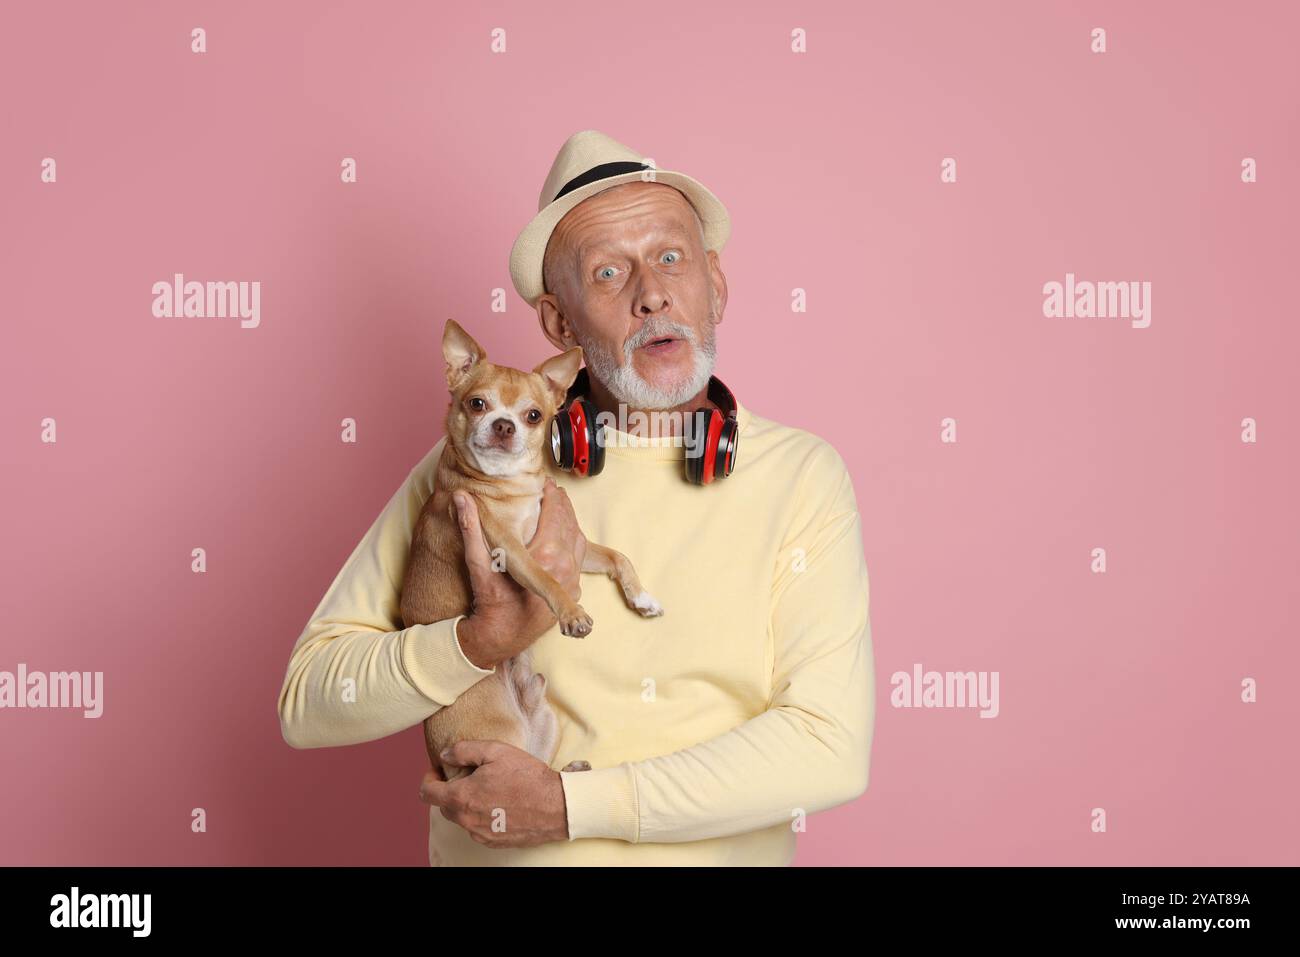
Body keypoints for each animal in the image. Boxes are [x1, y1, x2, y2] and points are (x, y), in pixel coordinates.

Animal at [400, 317, 665, 780]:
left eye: (534, 415)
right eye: (477, 404)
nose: (505, 425)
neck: (510, 484)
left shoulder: (578, 547)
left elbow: (618, 557)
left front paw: (642, 598)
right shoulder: (512, 553)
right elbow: (546, 579)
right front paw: (573, 615)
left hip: (544, 718)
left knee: (538, 769)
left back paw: (572, 771)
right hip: (497, 732)